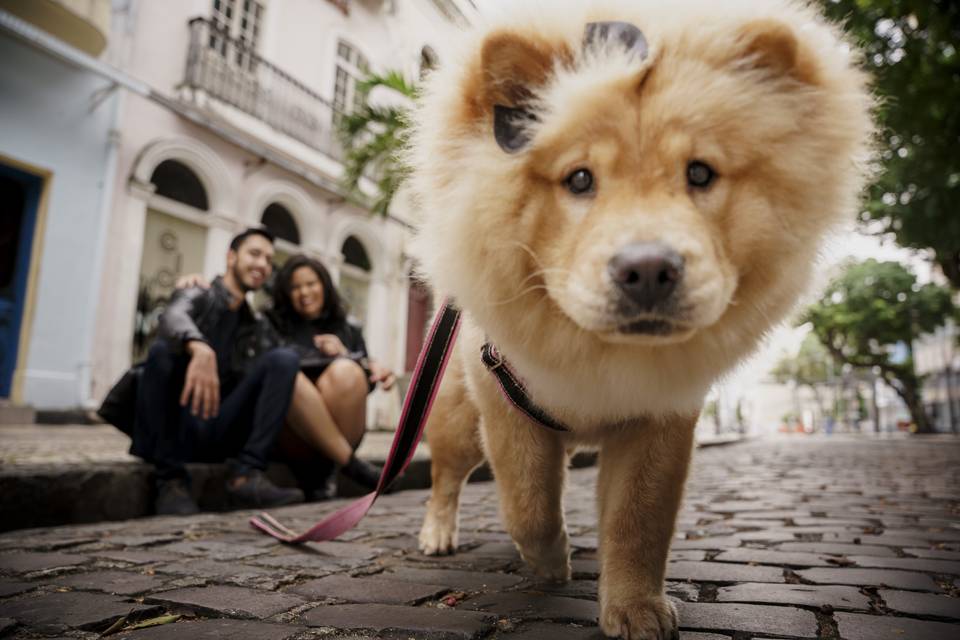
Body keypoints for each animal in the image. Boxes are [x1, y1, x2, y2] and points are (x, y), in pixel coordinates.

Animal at [406, 0, 876, 636]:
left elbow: (638, 521)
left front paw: (635, 609)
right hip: (457, 419)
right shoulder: (506, 406)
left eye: (700, 174)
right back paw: (437, 535)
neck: (599, 352)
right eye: (579, 179)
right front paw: (551, 562)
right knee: (446, 477)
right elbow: (528, 503)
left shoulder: (662, 418)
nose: (649, 269)